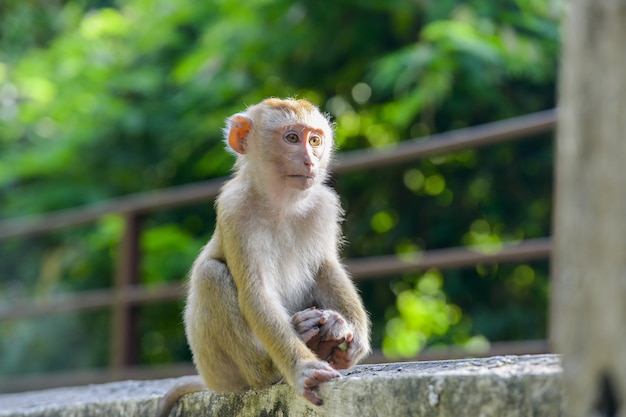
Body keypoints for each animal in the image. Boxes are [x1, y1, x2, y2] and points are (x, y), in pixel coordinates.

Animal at [155, 98, 368, 416]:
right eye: (291, 138)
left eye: (314, 140)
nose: (310, 161)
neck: (281, 203)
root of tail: (213, 383)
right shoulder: (235, 211)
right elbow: (256, 293)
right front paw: (302, 367)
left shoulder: (324, 206)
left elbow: (325, 268)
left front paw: (352, 335)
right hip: (217, 365)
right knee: (210, 274)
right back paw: (274, 367)